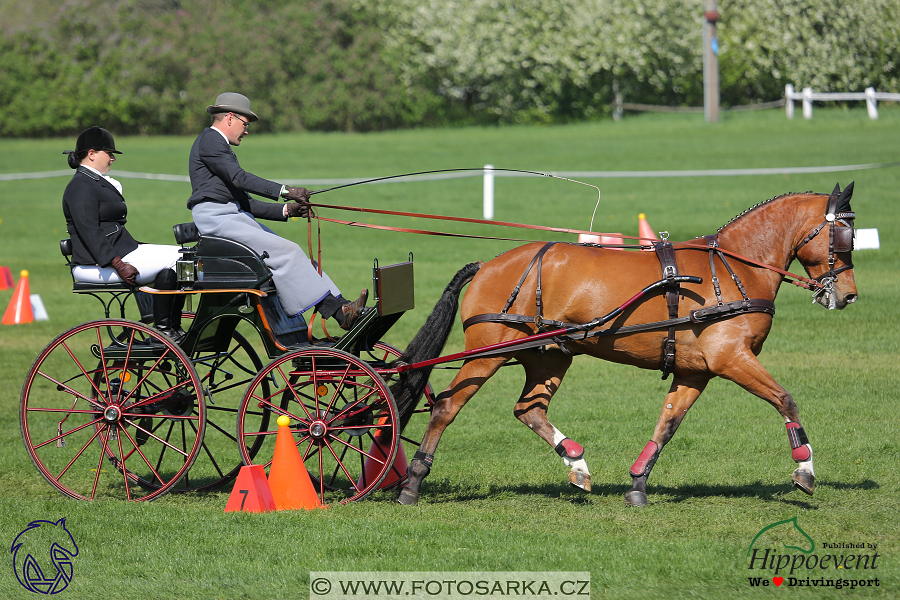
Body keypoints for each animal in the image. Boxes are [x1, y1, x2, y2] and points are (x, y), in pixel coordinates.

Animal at [392, 183, 856, 506]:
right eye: (844, 237)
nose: (848, 296)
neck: (733, 268)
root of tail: (489, 264)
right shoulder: (731, 359)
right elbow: (786, 399)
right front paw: (805, 469)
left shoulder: (696, 371)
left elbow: (667, 425)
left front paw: (638, 483)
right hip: (489, 351)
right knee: (446, 406)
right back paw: (412, 482)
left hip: (548, 356)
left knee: (529, 410)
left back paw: (576, 462)